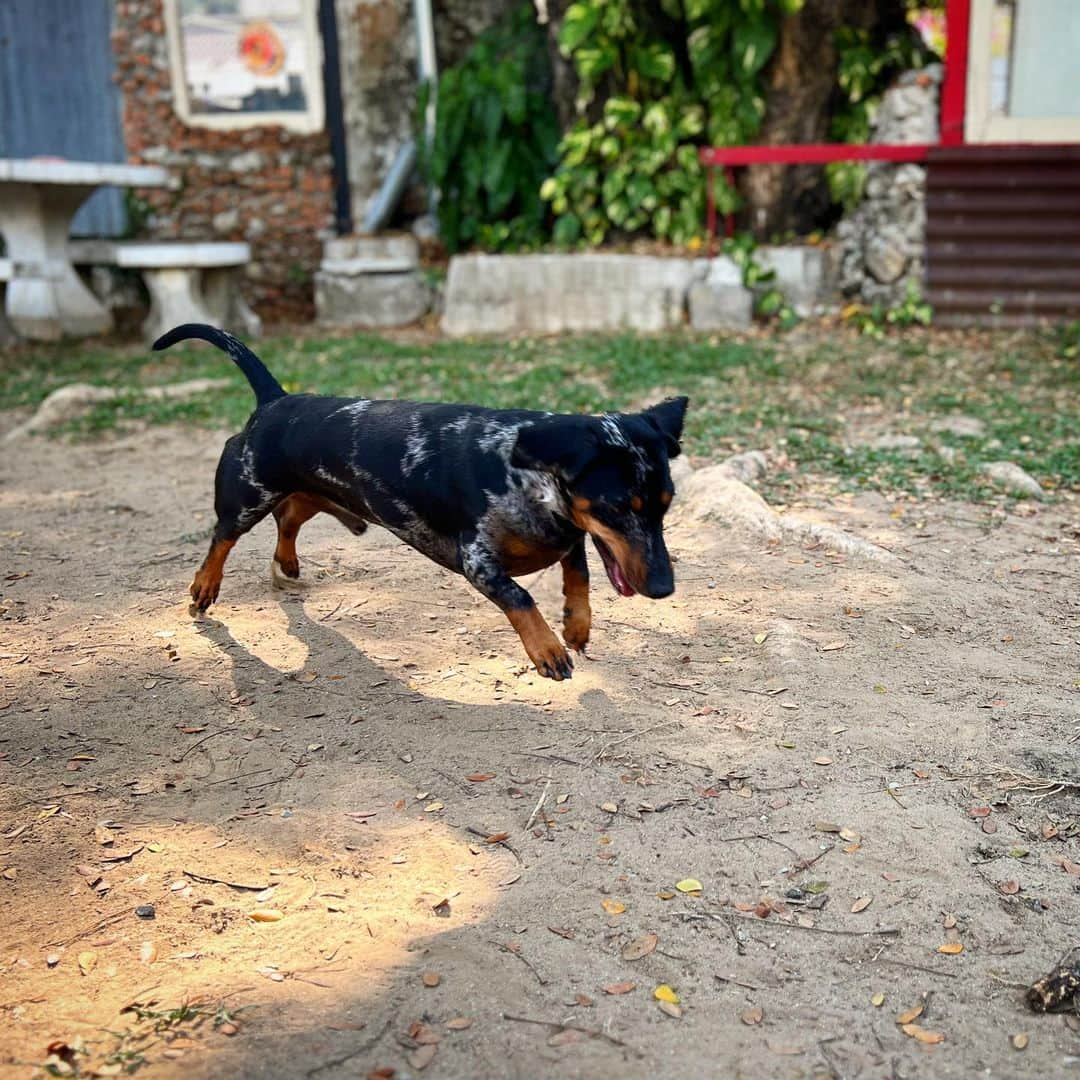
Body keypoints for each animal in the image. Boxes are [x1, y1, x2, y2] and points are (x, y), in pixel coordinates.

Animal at [156, 321, 686, 682]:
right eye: (617, 507)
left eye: (665, 504)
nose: (664, 589)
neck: (522, 473)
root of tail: (275, 399)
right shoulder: (477, 562)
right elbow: (522, 596)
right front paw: (548, 649)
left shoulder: (569, 534)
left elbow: (579, 573)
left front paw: (576, 628)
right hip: (248, 494)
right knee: (223, 537)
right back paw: (204, 586)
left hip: (316, 492)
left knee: (290, 517)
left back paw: (286, 563)